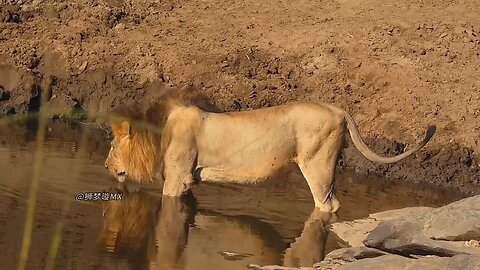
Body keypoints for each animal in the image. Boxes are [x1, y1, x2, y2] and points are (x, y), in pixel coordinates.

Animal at [104, 87, 436, 213]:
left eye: (112, 144)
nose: (106, 167)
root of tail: (338, 109)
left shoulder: (176, 178)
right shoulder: (188, 181)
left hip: (318, 164)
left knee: (327, 204)